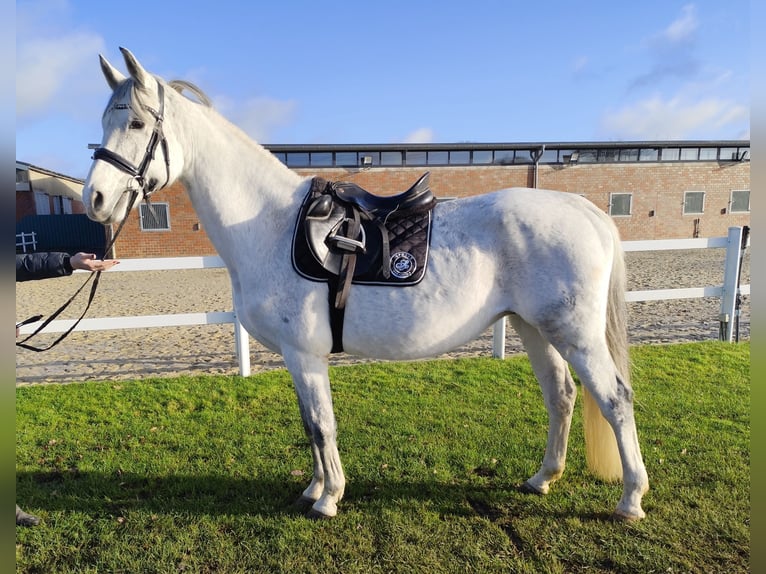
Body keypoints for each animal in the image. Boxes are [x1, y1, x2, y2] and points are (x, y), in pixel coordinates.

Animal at [84, 47, 648, 520]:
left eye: (136, 121)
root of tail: (586, 211)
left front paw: (328, 498)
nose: (95, 198)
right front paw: (314, 488)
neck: (269, 223)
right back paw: (542, 478)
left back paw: (630, 499)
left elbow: (321, 424)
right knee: (562, 396)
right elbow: (311, 425)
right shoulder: (298, 358)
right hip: (534, 329)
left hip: (574, 334)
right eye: (104, 120)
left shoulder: (305, 354)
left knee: (615, 400)